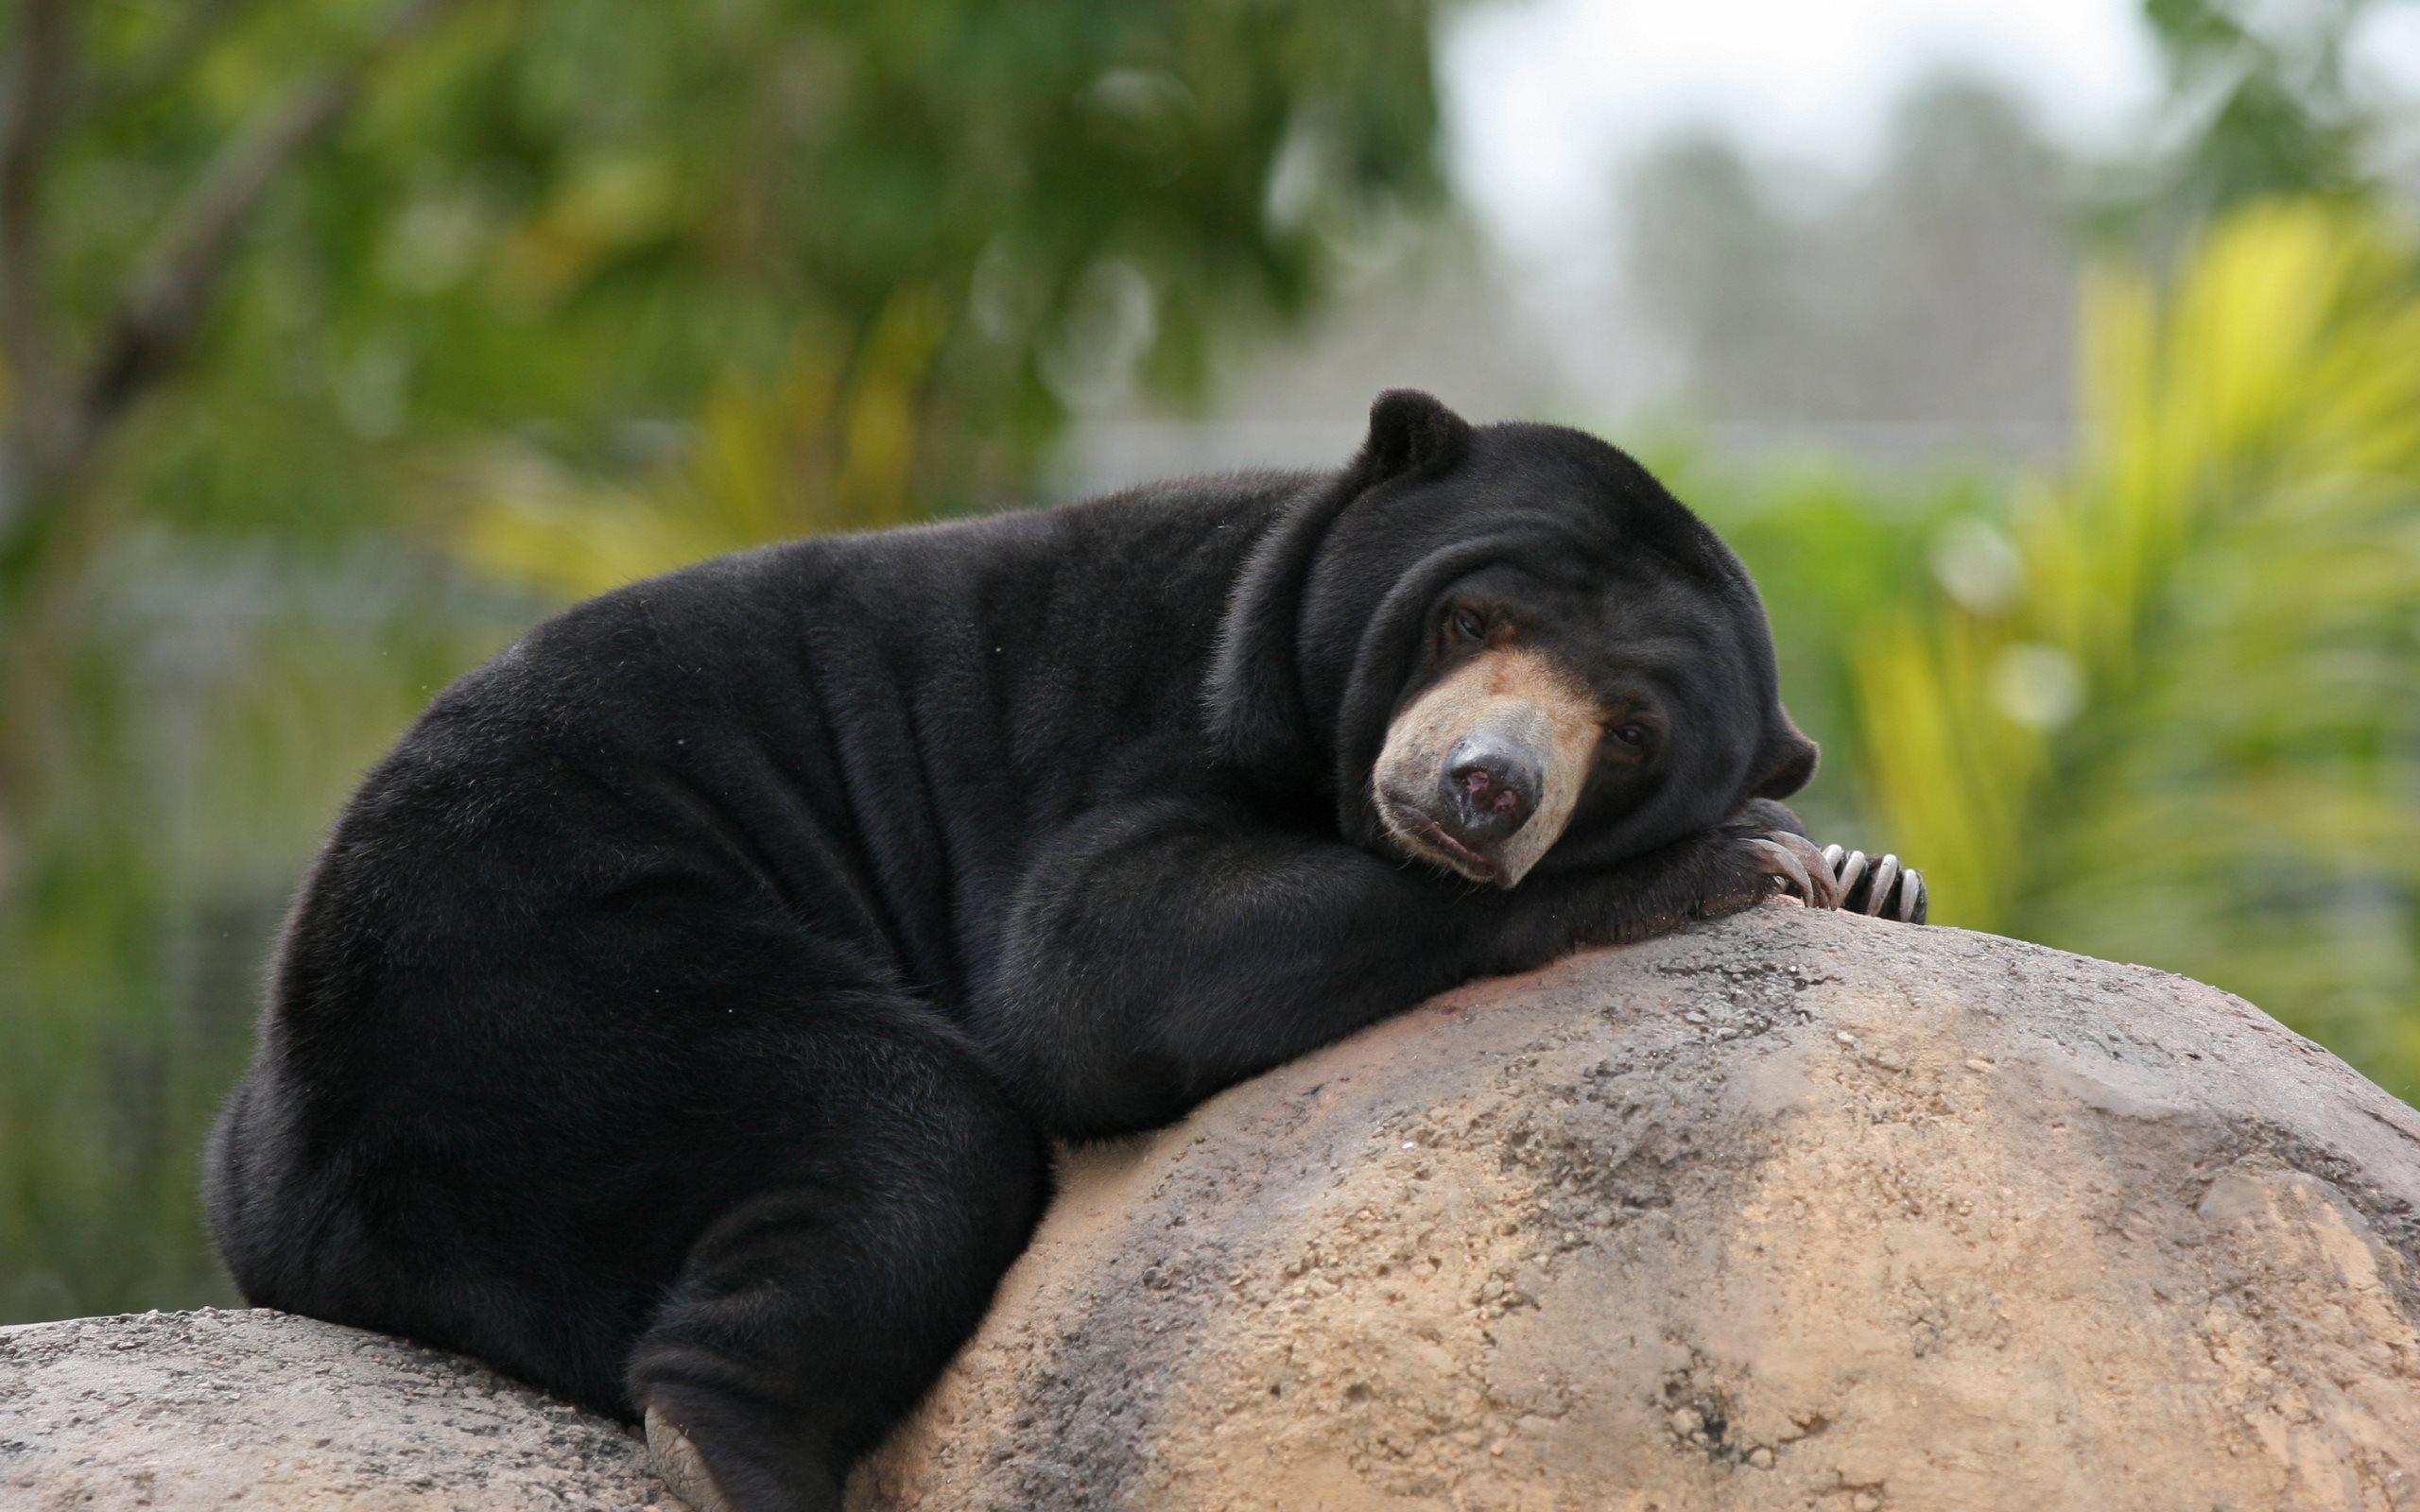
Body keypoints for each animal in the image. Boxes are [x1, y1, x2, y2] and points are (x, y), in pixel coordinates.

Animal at [203, 391, 1926, 1509]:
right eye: (1469, 621)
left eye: (1627, 731)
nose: (1484, 789)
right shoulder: (1147, 715)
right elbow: (1092, 967)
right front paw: (1738, 861)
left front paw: (1872, 872)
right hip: (543, 966)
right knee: (909, 1134)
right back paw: (731, 1453)